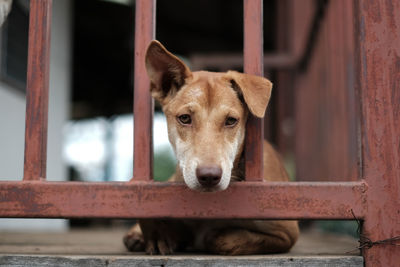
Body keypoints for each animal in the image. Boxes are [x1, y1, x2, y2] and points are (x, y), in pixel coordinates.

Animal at [123, 40, 298, 256]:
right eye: (184, 118)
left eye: (231, 121)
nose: (208, 176)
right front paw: (157, 234)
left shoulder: (286, 231)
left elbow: (220, 239)